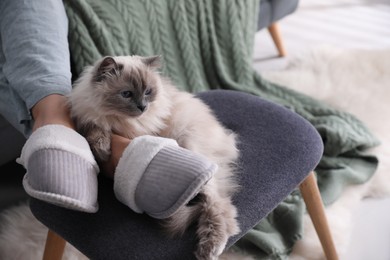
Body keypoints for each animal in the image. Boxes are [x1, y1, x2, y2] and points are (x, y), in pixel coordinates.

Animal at [68, 55, 241, 258]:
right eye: (126, 94)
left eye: (148, 92)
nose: (143, 107)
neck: (121, 121)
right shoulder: (90, 119)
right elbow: (96, 130)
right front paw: (102, 149)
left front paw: (103, 149)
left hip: (191, 145)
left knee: (219, 205)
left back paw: (209, 249)